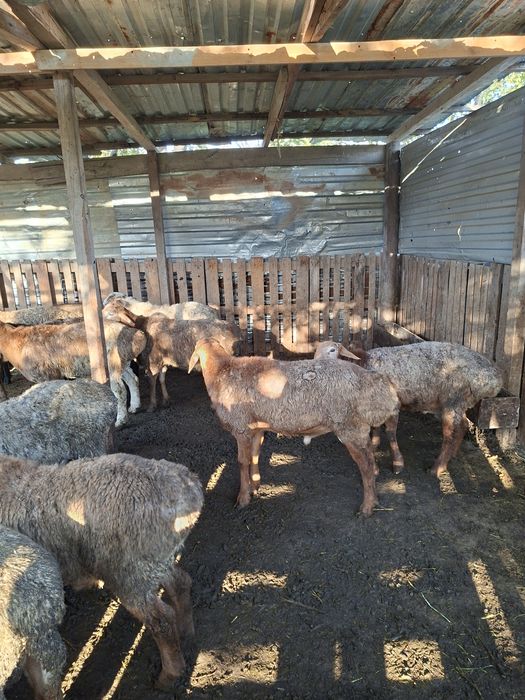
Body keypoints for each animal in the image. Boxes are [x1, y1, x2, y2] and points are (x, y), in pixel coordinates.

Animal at [0, 319, 145, 427]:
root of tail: (136, 334)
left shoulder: (47, 374)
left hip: (113, 361)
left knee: (120, 391)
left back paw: (121, 420)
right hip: (123, 362)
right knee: (133, 380)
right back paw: (134, 406)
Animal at [103, 298, 241, 411]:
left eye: (111, 313)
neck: (142, 324)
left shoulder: (153, 362)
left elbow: (152, 383)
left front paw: (152, 406)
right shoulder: (163, 361)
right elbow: (162, 379)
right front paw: (166, 400)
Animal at [188, 338, 401, 517]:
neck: (221, 372)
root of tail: (379, 383)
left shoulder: (241, 427)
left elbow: (242, 462)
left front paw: (243, 498)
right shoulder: (256, 428)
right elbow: (255, 455)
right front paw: (254, 486)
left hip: (351, 427)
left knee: (366, 466)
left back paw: (367, 507)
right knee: (371, 460)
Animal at [314, 340, 503, 476]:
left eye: (332, 350)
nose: (315, 365)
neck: (365, 364)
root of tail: (494, 378)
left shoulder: (394, 405)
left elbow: (390, 433)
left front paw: (397, 464)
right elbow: (376, 427)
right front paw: (374, 446)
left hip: (453, 399)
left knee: (449, 435)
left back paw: (437, 468)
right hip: (458, 402)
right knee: (462, 425)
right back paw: (452, 456)